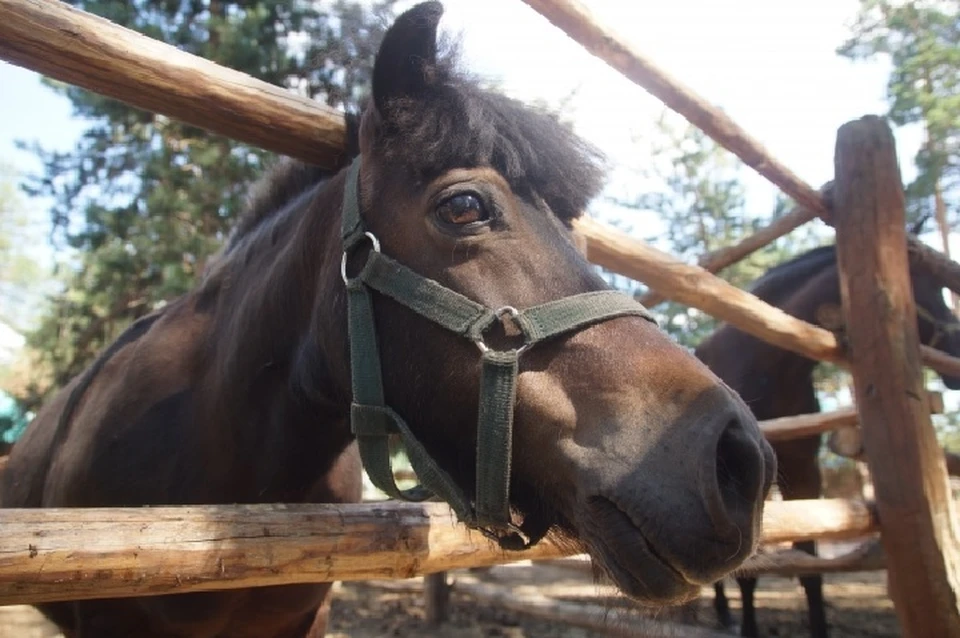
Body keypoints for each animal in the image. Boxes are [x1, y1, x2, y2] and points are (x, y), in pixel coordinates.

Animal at [696, 241, 960, 638]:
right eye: (918, 288)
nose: (958, 354)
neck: (770, 366)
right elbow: (747, 573)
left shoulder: (804, 472)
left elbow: (810, 570)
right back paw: (724, 613)